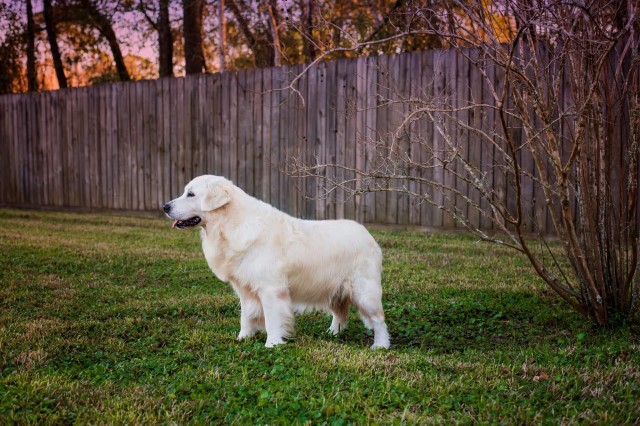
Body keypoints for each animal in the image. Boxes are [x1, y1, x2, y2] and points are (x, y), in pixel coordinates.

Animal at [161, 175, 390, 348]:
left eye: (191, 194)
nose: (165, 207)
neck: (231, 225)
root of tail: (367, 233)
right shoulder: (245, 289)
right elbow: (246, 316)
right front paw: (243, 337)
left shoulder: (271, 289)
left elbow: (272, 319)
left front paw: (272, 344)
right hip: (334, 290)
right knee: (341, 313)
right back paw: (333, 333)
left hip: (364, 292)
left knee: (379, 320)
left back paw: (380, 345)